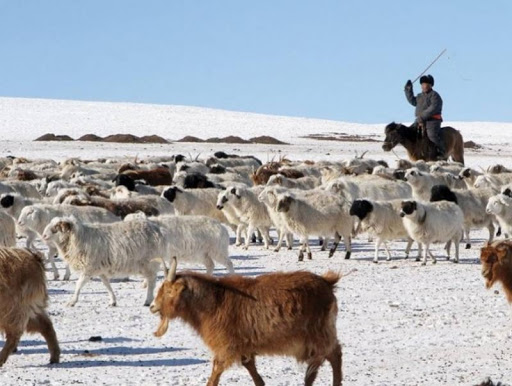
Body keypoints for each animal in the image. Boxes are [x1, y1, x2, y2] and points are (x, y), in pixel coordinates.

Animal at [150, 258, 342, 384]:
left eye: (169, 292)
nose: (152, 306)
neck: (214, 301)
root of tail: (327, 282)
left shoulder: (226, 346)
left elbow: (216, 370)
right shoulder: (244, 345)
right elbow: (250, 367)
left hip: (319, 334)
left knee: (334, 355)